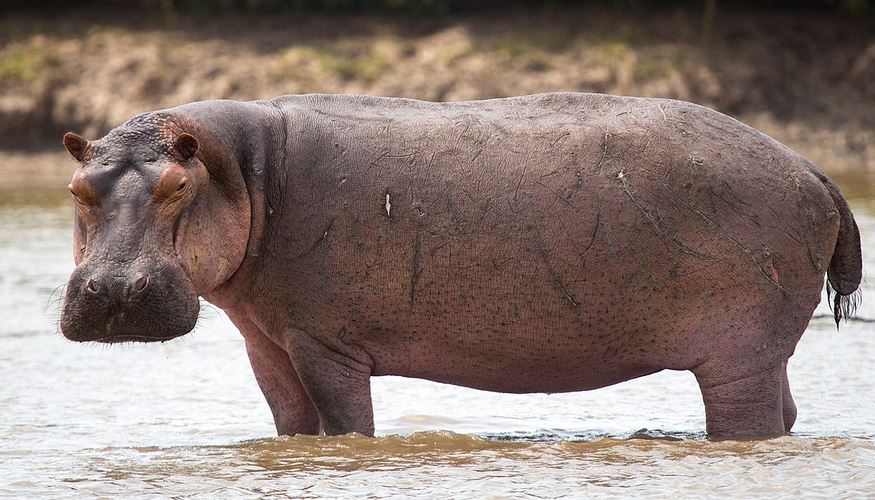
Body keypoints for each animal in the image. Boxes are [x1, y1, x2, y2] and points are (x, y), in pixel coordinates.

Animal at [60, 92, 861, 439]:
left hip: (738, 353)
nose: (113, 291)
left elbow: (345, 426)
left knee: (749, 419)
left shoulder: (325, 343)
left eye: (176, 186)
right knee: (786, 413)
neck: (244, 172)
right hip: (763, 349)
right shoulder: (268, 340)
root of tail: (813, 170)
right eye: (77, 188)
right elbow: (292, 426)